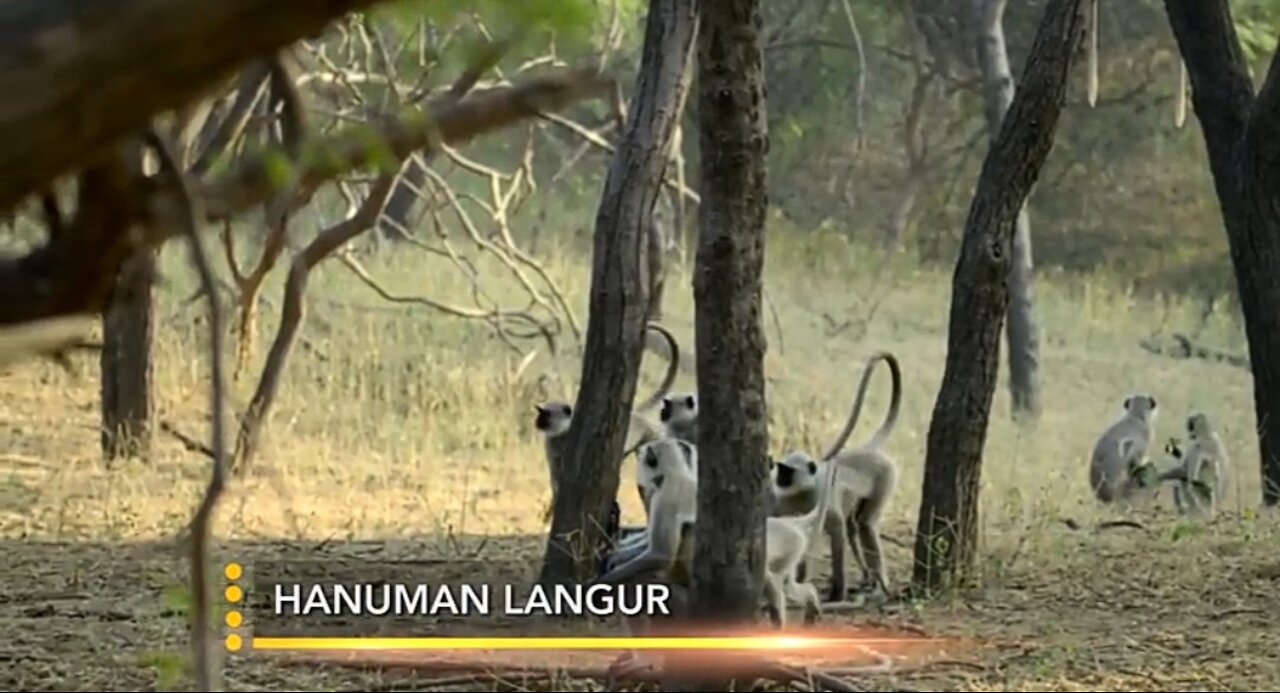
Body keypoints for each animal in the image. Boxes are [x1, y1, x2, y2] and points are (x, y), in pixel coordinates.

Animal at [768, 350, 901, 599]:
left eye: (787, 471)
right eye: (780, 469)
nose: (778, 478)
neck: (803, 491)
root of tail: (868, 449)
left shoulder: (822, 494)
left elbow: (836, 529)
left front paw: (837, 591)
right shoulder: (783, 502)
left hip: (886, 476)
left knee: (864, 524)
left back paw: (880, 585)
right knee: (853, 525)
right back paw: (868, 579)